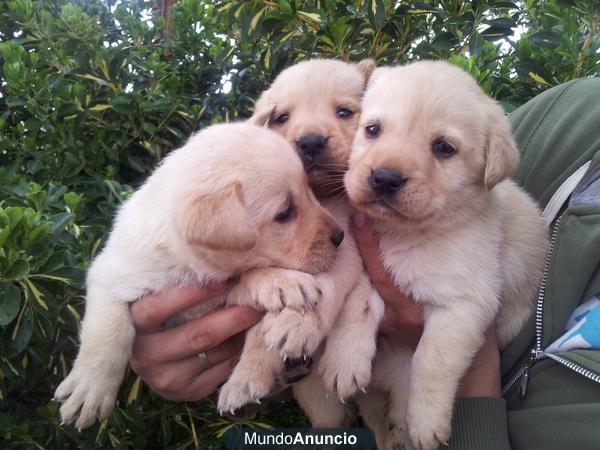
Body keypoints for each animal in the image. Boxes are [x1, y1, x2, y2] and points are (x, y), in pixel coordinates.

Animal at [54, 122, 344, 428]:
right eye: (285, 213)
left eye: (309, 190)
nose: (340, 236)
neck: (187, 264)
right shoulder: (110, 274)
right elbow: (108, 330)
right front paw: (90, 388)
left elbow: (246, 283)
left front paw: (278, 282)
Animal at [344, 61, 552, 450]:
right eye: (372, 129)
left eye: (443, 147)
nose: (384, 178)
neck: (405, 232)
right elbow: (356, 305)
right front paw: (344, 361)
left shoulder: (463, 302)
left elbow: (431, 359)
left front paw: (426, 422)